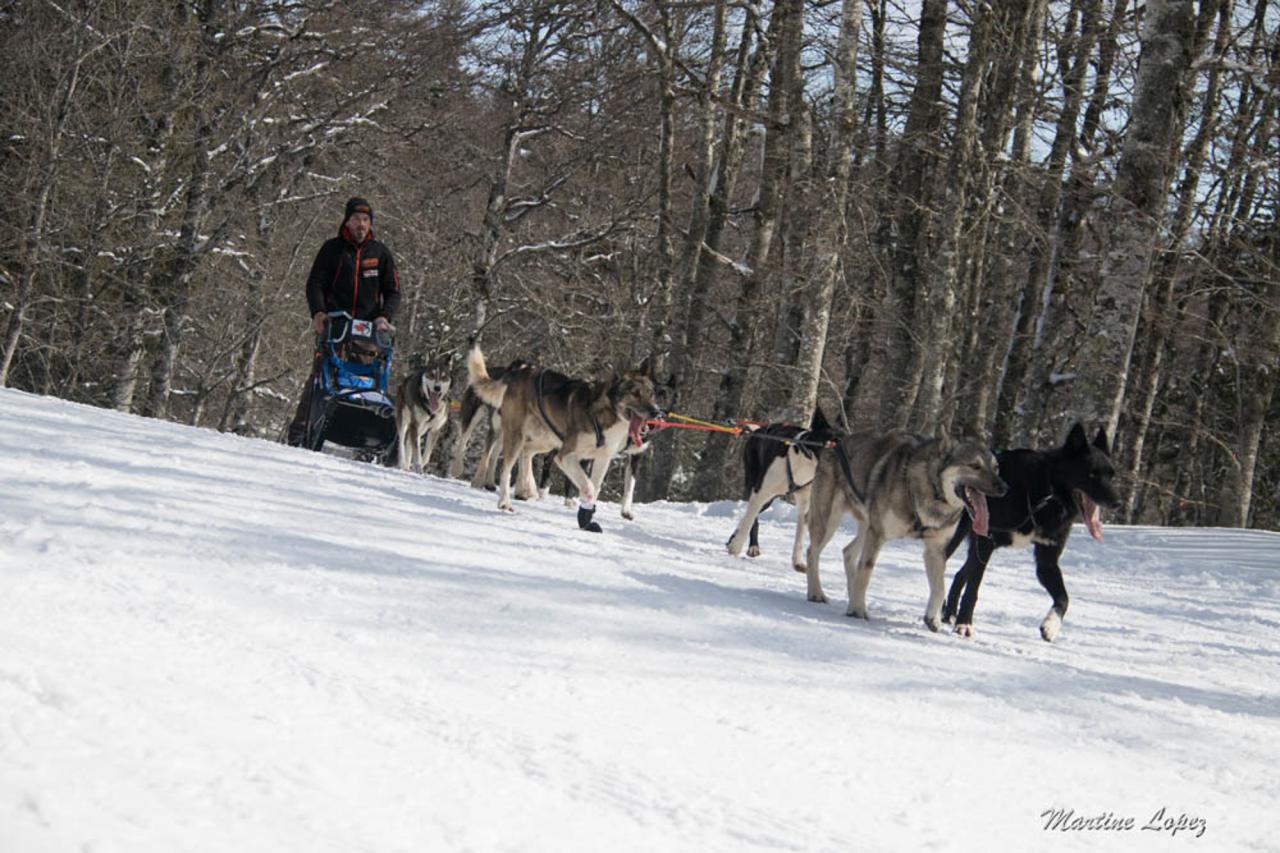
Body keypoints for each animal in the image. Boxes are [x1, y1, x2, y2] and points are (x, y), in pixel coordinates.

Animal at [463, 345, 660, 532]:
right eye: (635, 393)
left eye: (651, 393)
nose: (656, 412)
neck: (603, 413)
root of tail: (520, 372)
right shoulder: (565, 456)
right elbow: (588, 487)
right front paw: (583, 505)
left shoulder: (602, 458)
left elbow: (595, 487)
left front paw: (586, 518)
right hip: (517, 436)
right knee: (506, 469)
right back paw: (505, 501)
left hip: (546, 440)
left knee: (527, 451)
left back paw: (526, 488)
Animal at [732, 407, 839, 568]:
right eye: (832, 440)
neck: (804, 460)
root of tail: (758, 430)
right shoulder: (761, 492)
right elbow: (749, 520)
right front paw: (736, 546)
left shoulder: (805, 504)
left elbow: (800, 534)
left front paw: (798, 561)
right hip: (757, 490)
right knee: (751, 517)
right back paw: (751, 546)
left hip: (768, 499)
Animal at [803, 427, 1003, 627]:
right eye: (975, 466)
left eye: (996, 468)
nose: (1004, 487)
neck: (931, 491)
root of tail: (834, 445)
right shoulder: (877, 535)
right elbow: (866, 571)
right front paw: (858, 610)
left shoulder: (935, 550)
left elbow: (940, 588)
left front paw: (932, 618)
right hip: (830, 523)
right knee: (813, 552)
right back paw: (816, 593)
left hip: (867, 527)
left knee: (847, 552)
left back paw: (851, 594)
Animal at [942, 417, 1121, 637]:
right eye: (1092, 474)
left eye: (1112, 475)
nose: (1117, 502)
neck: (1046, 494)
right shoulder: (986, 542)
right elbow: (973, 590)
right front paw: (965, 624)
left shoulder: (1047, 561)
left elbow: (1064, 598)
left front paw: (1051, 625)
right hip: (956, 538)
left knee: (960, 574)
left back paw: (949, 613)